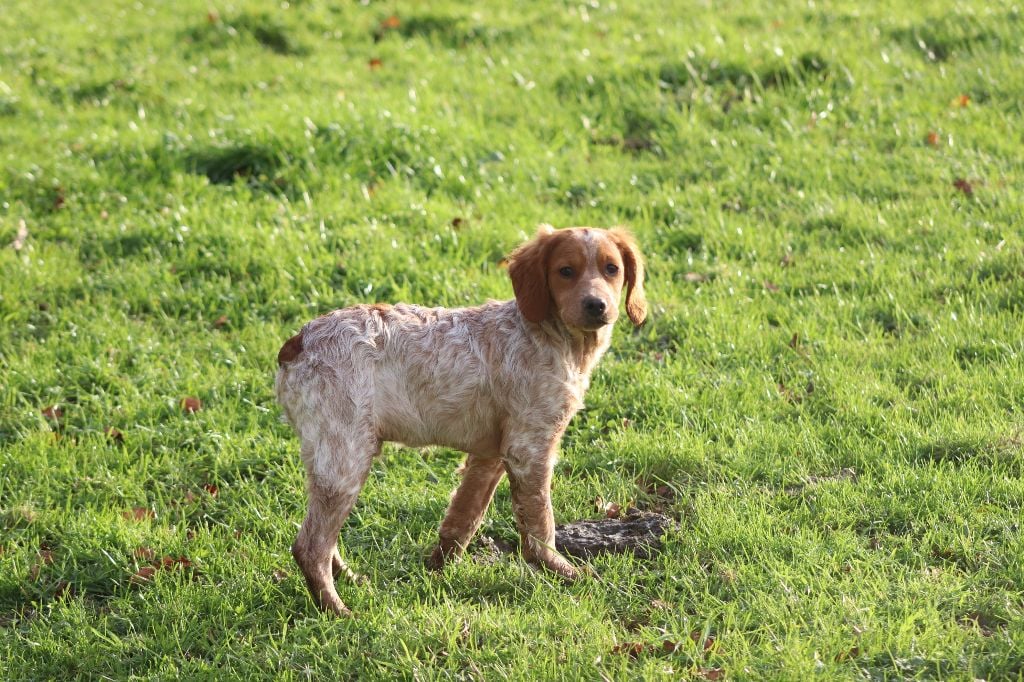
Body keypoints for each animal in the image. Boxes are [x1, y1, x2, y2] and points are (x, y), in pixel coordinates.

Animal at [276, 225, 643, 614]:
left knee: (324, 539)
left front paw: (436, 572)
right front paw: (563, 572)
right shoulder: (529, 447)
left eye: (611, 269)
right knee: (310, 546)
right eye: (565, 271)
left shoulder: (491, 453)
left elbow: (463, 517)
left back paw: (351, 580)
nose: (596, 305)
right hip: (345, 456)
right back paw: (336, 610)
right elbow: (540, 523)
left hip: (331, 455)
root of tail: (299, 342)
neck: (549, 335)